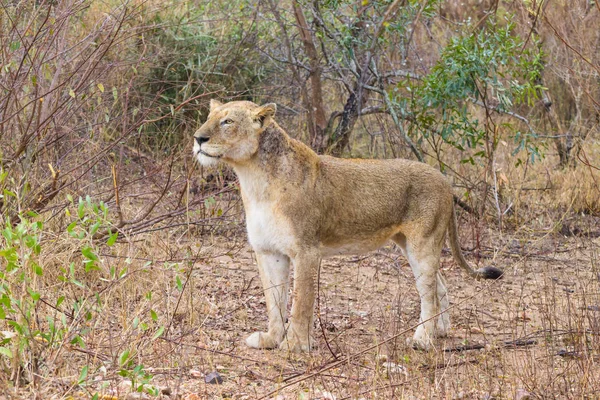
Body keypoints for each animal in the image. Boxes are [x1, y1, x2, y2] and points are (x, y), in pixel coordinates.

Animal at [192, 100, 502, 354]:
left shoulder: (306, 250)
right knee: (440, 286)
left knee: (429, 294)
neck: (254, 178)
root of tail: (444, 179)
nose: (198, 138)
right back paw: (440, 331)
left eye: (227, 121)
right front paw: (270, 339)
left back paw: (423, 339)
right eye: (209, 117)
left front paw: (295, 345)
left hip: (422, 243)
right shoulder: (268, 251)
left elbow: (300, 302)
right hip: (408, 244)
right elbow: (274, 301)